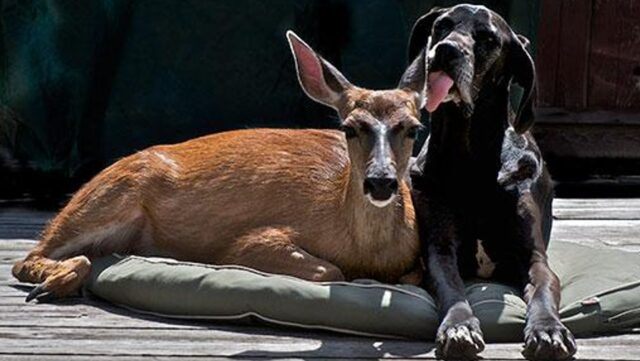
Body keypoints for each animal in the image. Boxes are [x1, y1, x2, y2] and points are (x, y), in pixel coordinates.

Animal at [12, 31, 428, 300]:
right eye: (348, 128)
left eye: (413, 128)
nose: (380, 181)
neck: (367, 252)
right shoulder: (249, 243)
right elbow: (331, 269)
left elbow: (412, 277)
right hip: (110, 195)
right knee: (28, 257)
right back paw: (51, 285)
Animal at [410, 3, 580, 360]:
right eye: (441, 25)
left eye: (488, 39)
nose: (446, 51)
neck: (470, 156)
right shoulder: (439, 251)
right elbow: (452, 289)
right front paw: (458, 326)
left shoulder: (533, 257)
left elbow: (543, 291)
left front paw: (547, 329)